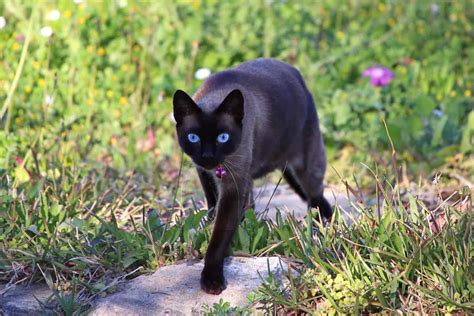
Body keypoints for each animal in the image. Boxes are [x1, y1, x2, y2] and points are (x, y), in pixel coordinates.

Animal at [172, 58, 332, 296]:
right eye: (194, 138)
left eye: (223, 137)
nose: (208, 155)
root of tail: (293, 70)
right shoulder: (204, 172)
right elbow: (212, 207)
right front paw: (211, 226)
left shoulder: (232, 185)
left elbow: (218, 237)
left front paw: (212, 280)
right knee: (251, 204)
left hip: (306, 165)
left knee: (317, 196)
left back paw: (320, 224)